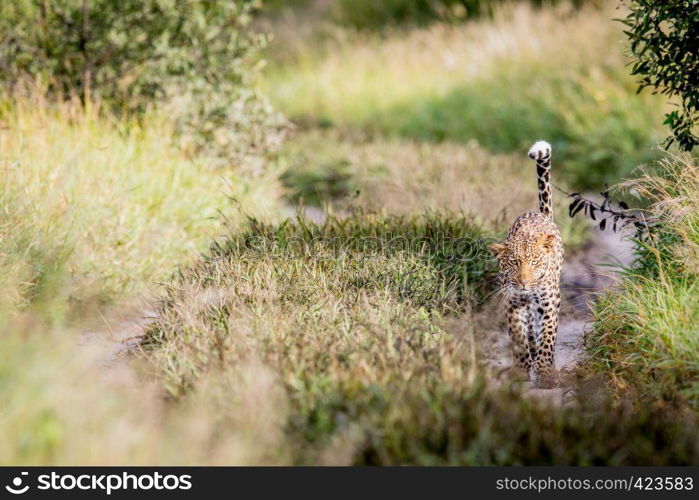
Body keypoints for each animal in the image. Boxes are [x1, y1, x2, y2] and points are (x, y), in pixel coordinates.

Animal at [490, 143, 568, 388]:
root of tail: (538, 213)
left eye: (534, 263)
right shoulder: (513, 302)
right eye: (515, 263)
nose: (524, 282)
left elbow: (548, 336)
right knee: (531, 328)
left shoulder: (549, 302)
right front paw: (521, 369)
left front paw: (545, 372)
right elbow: (518, 337)